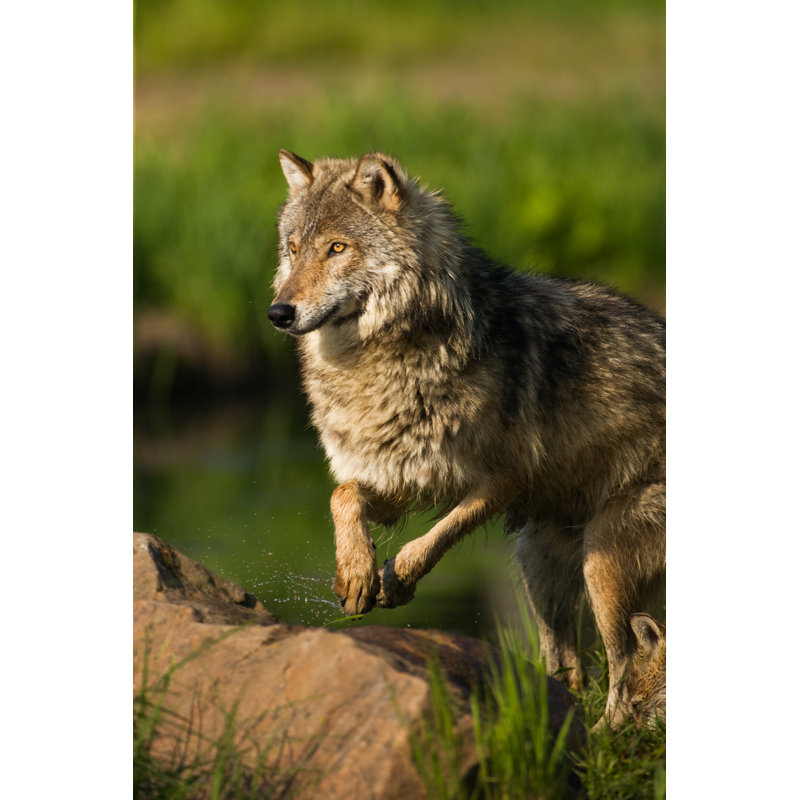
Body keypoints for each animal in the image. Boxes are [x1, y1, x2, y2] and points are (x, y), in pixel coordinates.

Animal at [268, 150, 665, 726]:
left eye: (337, 248)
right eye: (294, 250)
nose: (278, 312)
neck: (382, 360)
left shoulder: (503, 481)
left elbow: (434, 538)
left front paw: (397, 579)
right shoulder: (399, 476)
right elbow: (343, 496)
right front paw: (357, 574)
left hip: (602, 562)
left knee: (624, 664)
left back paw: (602, 734)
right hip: (539, 561)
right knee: (572, 665)